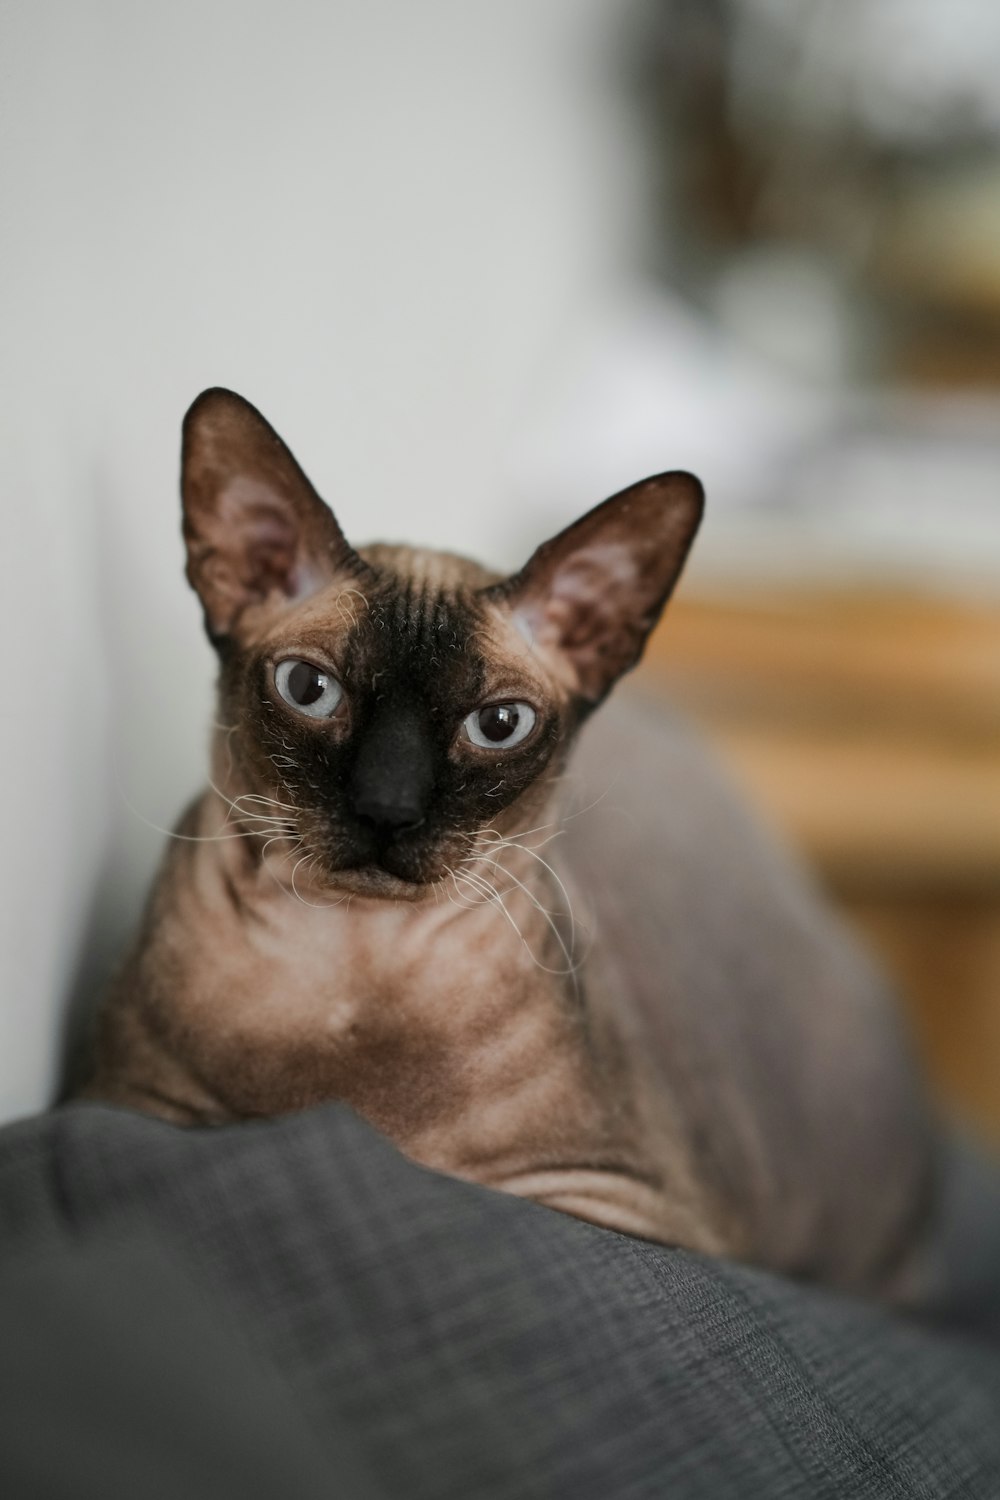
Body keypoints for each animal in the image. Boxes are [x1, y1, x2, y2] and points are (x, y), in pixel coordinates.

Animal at [82, 393, 935, 1296]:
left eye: (498, 725)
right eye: (309, 690)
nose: (388, 809)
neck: (353, 974)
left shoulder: (615, 1205)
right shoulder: (132, 1105)